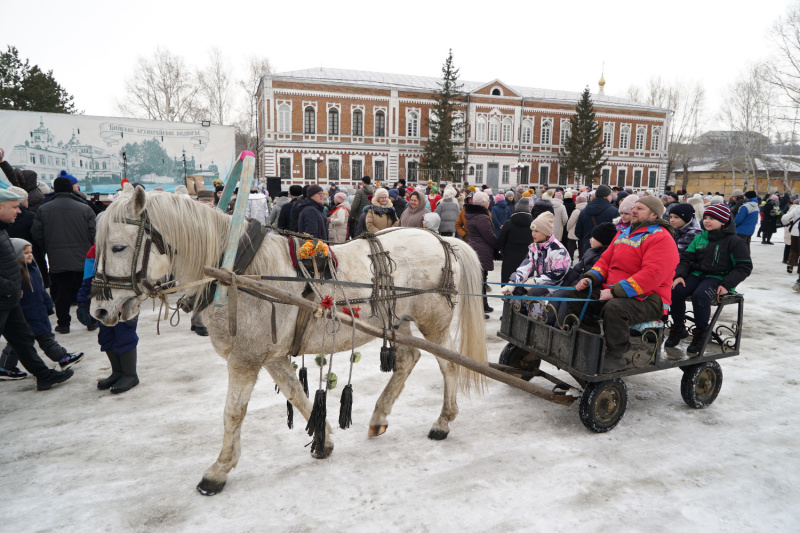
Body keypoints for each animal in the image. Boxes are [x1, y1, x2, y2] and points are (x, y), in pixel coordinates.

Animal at [88, 186, 488, 494]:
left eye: (119, 247)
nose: (99, 310)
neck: (238, 272)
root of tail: (443, 240)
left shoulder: (246, 358)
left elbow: (233, 412)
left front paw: (218, 470)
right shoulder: (271, 356)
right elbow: (298, 395)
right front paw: (325, 440)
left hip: (433, 322)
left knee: (449, 365)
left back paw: (443, 422)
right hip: (397, 320)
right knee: (407, 361)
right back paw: (379, 415)